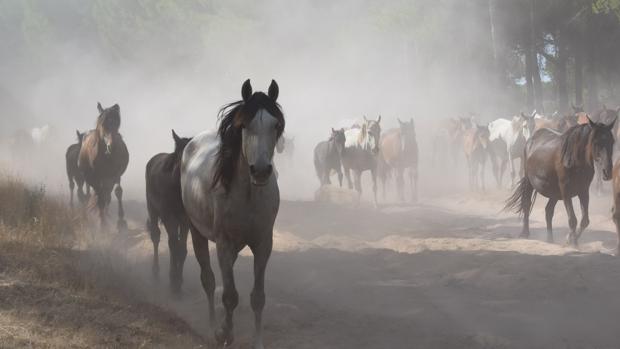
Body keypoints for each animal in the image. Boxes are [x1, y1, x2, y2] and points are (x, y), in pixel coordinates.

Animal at [78, 101, 130, 231]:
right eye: (103, 124)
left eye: (117, 124)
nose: (112, 146)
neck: (106, 156)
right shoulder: (93, 179)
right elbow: (100, 198)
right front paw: (102, 224)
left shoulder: (116, 174)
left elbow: (118, 191)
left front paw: (121, 221)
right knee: (101, 195)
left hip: (109, 179)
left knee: (107, 194)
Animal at [145, 130, 191, 294]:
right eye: (181, 157)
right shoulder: (168, 217)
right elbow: (173, 245)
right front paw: (173, 281)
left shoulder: (186, 220)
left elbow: (181, 249)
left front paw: (179, 280)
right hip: (152, 209)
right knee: (156, 236)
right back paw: (155, 271)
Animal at [180, 79, 284, 348]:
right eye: (244, 124)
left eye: (275, 124)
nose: (260, 170)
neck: (248, 194)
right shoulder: (224, 244)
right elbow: (229, 296)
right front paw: (224, 334)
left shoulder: (263, 244)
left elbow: (257, 297)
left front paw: (257, 342)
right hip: (197, 232)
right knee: (208, 280)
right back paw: (212, 327)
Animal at [508, 118, 616, 246]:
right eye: (595, 142)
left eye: (612, 142)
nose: (607, 172)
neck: (575, 159)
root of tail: (531, 138)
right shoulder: (565, 191)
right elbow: (572, 219)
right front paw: (572, 241)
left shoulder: (583, 191)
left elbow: (585, 220)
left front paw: (571, 238)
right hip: (529, 182)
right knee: (526, 204)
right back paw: (525, 233)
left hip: (554, 192)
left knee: (548, 211)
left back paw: (550, 239)